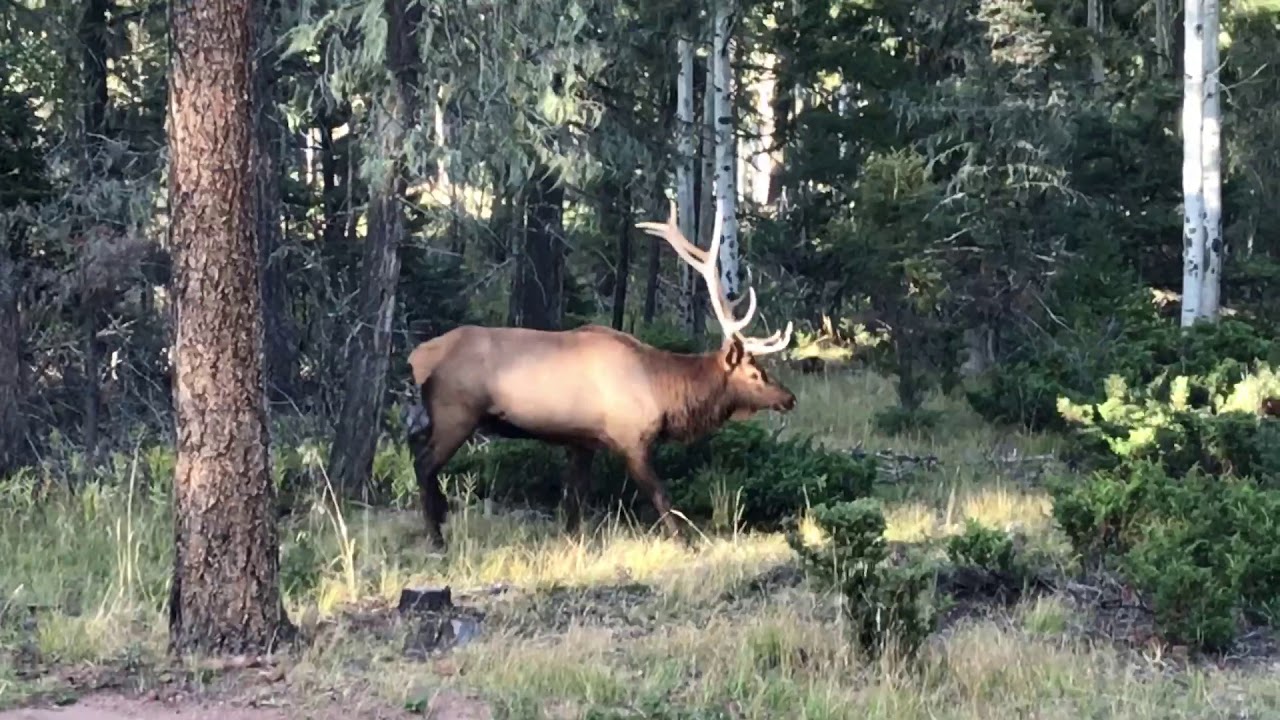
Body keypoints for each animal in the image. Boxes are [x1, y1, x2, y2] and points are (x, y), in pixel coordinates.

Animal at [403, 198, 796, 550]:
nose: (790, 398)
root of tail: (418, 355)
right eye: (756, 373)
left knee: (417, 451)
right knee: (424, 464)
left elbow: (574, 500)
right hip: (457, 413)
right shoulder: (632, 438)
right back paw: (436, 537)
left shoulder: (582, 441)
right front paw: (685, 542)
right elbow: (660, 494)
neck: (664, 392)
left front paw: (572, 541)